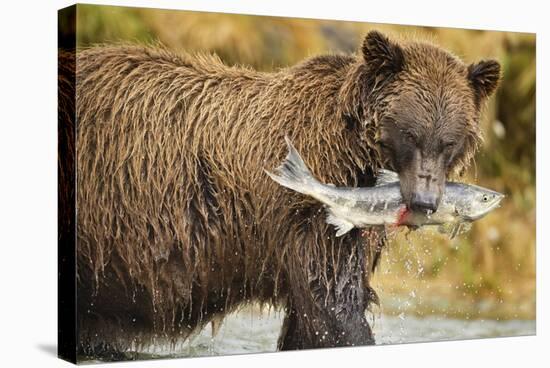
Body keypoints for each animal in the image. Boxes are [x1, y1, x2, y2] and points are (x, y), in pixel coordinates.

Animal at [63, 30, 500, 358]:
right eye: (410, 133)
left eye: (449, 141)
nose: (425, 202)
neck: (355, 153)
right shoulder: (311, 216)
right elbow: (333, 304)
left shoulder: (352, 230)